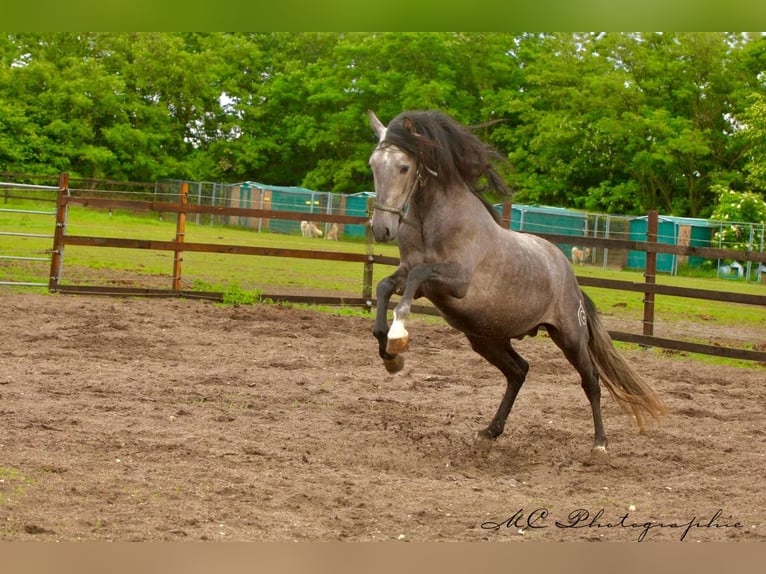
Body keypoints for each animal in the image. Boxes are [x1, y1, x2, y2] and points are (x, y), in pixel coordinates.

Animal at [367, 109, 667, 453]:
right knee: (518, 371)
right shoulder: (411, 275)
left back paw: (600, 444)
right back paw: (490, 430)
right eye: (373, 165)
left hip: (570, 337)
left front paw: (398, 336)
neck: (433, 221)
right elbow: (385, 287)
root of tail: (569, 275)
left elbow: (414, 281)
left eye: (404, 167)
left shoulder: (456, 281)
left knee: (590, 379)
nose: (382, 229)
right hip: (486, 338)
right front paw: (389, 353)